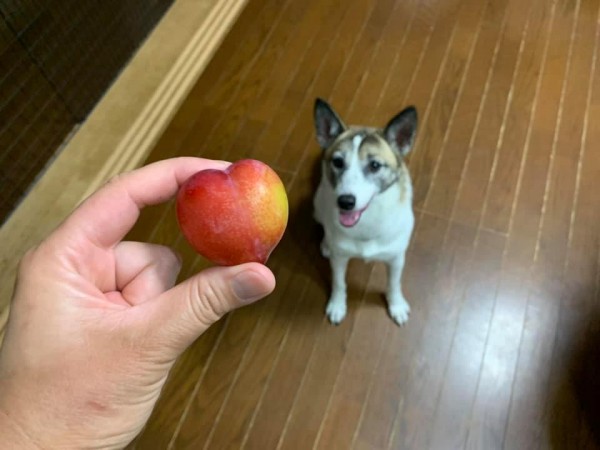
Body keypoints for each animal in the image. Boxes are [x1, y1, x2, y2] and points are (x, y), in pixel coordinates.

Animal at [312, 97, 420, 324]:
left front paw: (396, 305)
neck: (367, 223)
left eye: (375, 165)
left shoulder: (396, 258)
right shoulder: (340, 259)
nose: (345, 202)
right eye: (337, 162)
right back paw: (326, 243)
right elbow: (339, 282)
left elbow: (394, 283)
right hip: (317, 203)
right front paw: (337, 305)